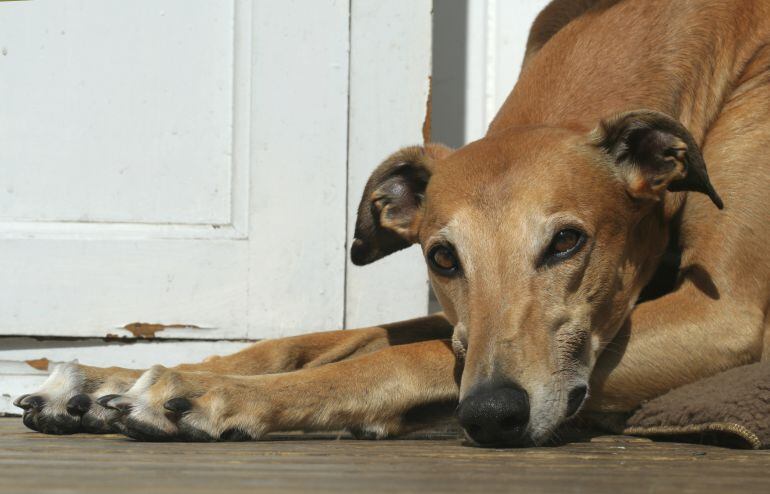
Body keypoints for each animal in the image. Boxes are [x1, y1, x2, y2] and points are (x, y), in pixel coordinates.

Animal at [13, 0, 768, 446]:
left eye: (567, 242)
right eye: (443, 258)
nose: (492, 416)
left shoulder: (728, 315)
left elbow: (407, 353)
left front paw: (202, 392)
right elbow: (340, 337)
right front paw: (100, 383)